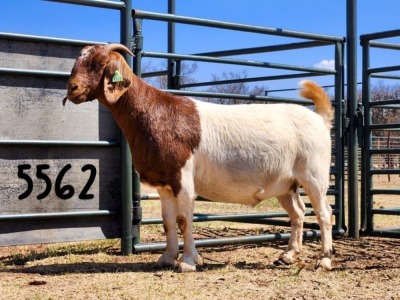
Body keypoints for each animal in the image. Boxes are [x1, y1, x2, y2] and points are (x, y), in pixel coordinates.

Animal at [65, 44, 334, 272]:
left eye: (100, 63)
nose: (72, 88)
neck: (154, 112)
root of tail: (319, 117)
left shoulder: (183, 178)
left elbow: (184, 220)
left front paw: (188, 261)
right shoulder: (164, 184)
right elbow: (168, 221)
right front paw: (166, 258)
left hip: (314, 175)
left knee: (324, 213)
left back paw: (324, 259)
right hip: (286, 183)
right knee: (298, 213)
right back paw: (288, 255)